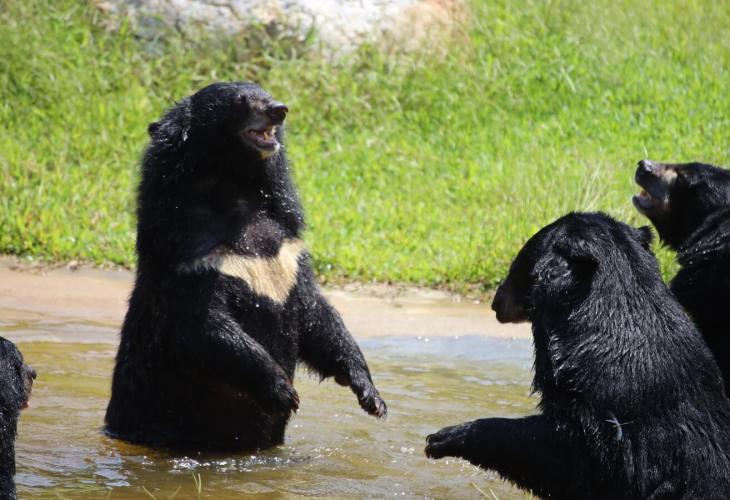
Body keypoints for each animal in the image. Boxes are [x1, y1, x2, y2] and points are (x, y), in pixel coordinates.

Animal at [105, 82, 386, 450]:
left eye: (265, 93)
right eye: (242, 102)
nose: (279, 109)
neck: (234, 189)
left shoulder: (287, 251)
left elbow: (318, 316)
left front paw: (371, 396)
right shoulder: (191, 257)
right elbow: (205, 327)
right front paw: (285, 393)